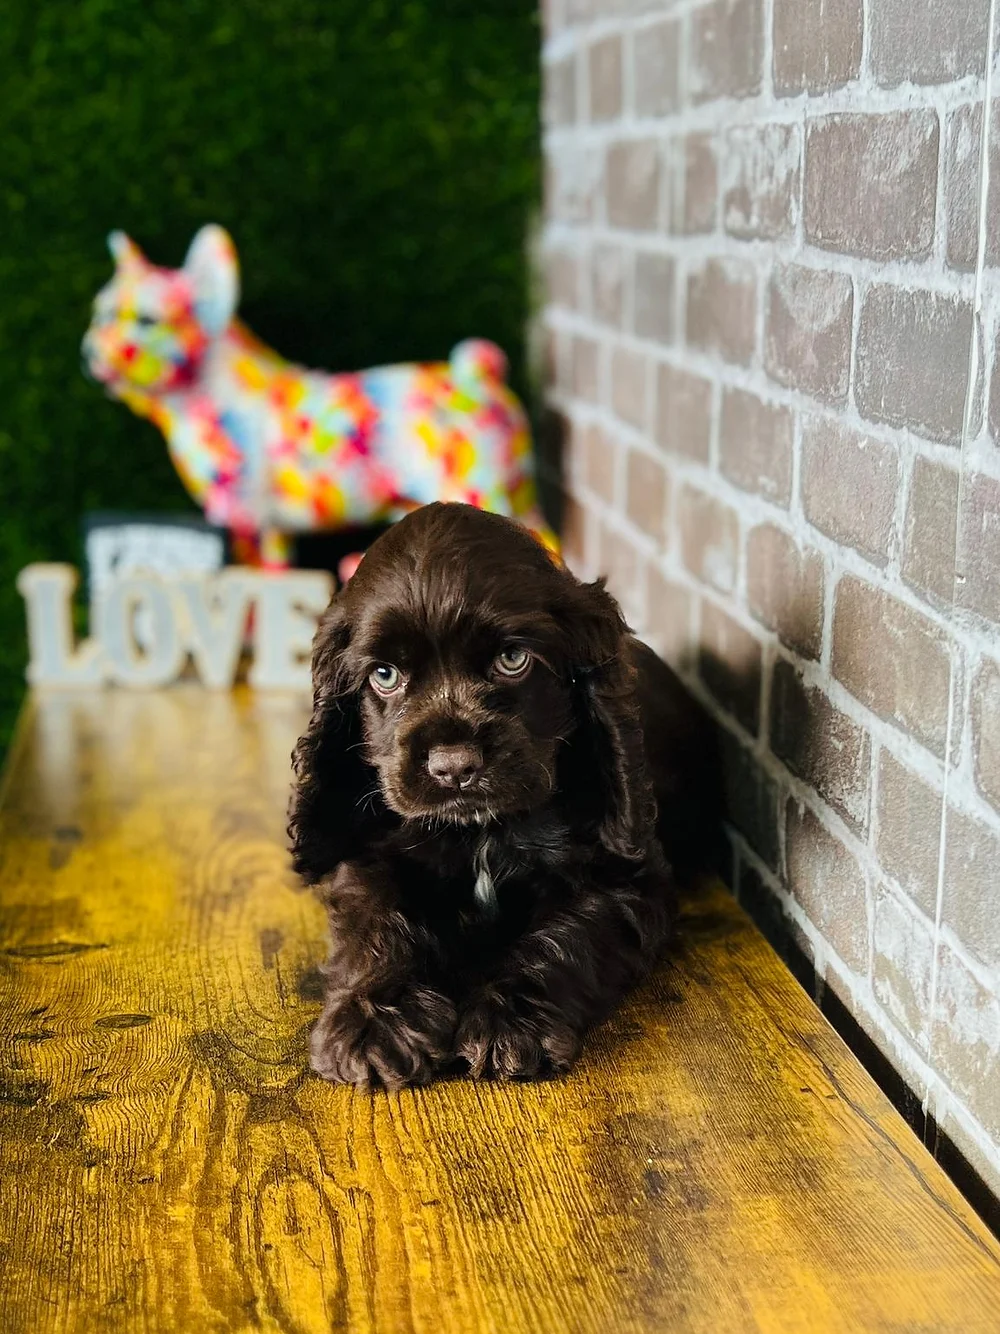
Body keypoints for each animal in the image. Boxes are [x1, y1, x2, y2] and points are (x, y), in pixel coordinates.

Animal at [289, 501, 720, 1083]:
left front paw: (511, 1021)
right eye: (385, 674)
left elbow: (571, 932)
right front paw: (373, 1024)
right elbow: (374, 921)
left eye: (513, 660)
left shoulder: (628, 873)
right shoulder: (371, 852)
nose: (454, 769)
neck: (483, 831)